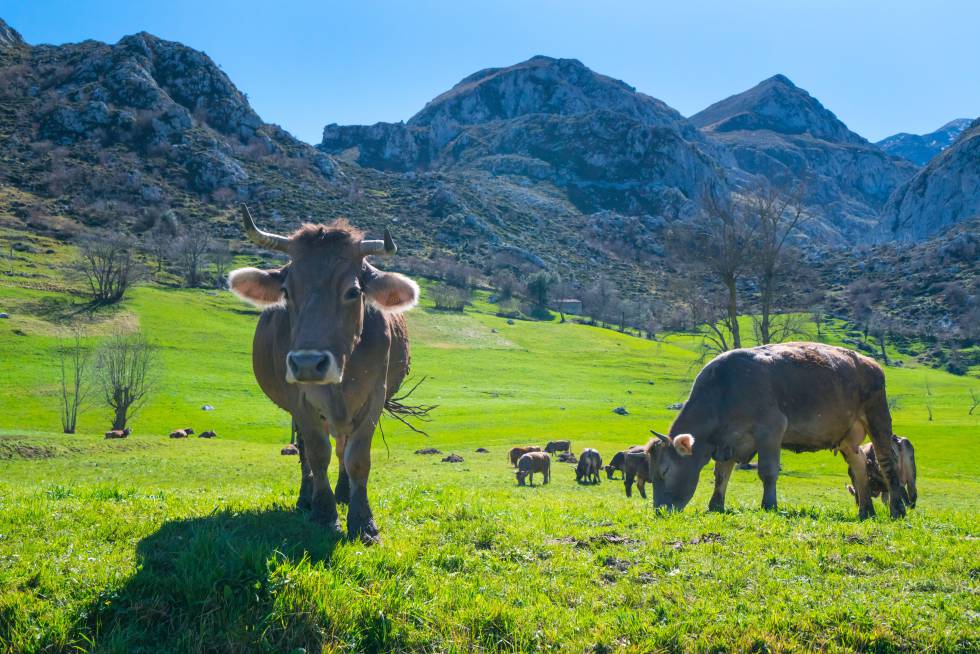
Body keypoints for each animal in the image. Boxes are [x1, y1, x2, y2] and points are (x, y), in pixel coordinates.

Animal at [228, 204, 419, 543]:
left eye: (353, 291)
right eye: (287, 291)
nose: (307, 363)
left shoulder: (375, 397)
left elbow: (357, 458)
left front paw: (363, 521)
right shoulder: (299, 400)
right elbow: (317, 454)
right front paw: (324, 514)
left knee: (342, 447)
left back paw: (343, 493)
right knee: (307, 452)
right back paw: (308, 498)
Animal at [644, 343, 907, 520]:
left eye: (665, 470)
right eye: (652, 473)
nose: (660, 510)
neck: (725, 390)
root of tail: (869, 362)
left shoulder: (771, 430)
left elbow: (768, 471)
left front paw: (769, 504)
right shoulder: (727, 441)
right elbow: (721, 474)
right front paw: (715, 505)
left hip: (877, 417)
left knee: (885, 462)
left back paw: (897, 509)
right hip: (847, 437)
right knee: (859, 464)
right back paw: (866, 510)